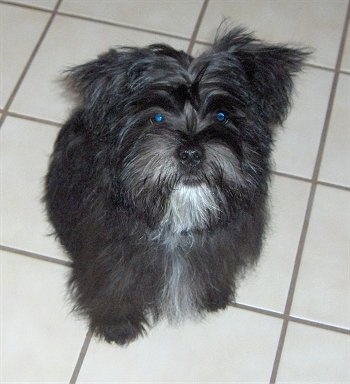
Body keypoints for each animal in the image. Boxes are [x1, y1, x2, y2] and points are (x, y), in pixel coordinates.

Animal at [44, 27, 308, 344]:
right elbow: (114, 286)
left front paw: (212, 296)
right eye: (157, 117)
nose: (191, 153)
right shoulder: (111, 255)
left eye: (222, 115)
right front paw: (118, 325)